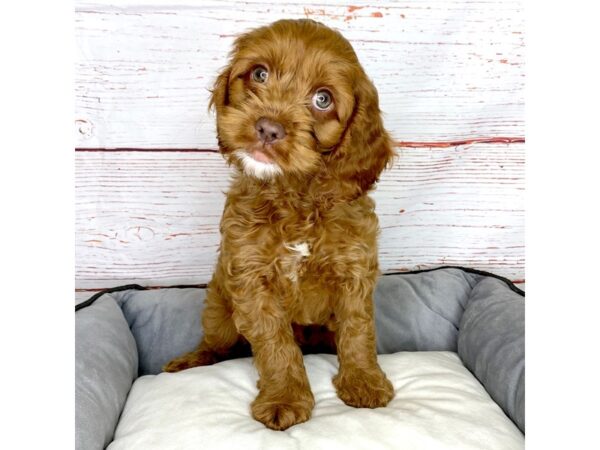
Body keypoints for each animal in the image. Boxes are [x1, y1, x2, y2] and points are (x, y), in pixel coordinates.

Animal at [166, 19, 396, 430]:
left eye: (323, 99)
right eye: (260, 74)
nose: (268, 127)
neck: (295, 197)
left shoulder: (354, 270)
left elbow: (358, 329)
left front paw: (364, 381)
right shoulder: (250, 277)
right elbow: (275, 343)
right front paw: (284, 398)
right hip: (218, 313)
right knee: (215, 345)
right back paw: (189, 361)